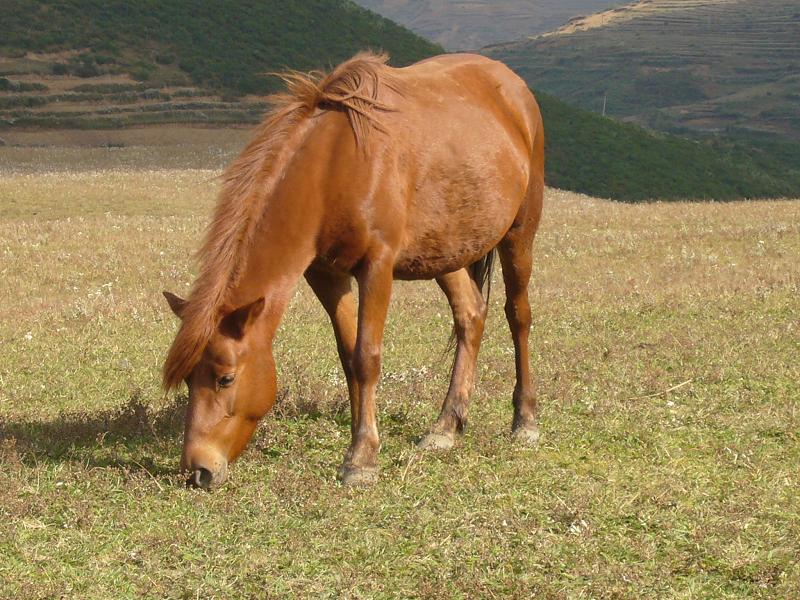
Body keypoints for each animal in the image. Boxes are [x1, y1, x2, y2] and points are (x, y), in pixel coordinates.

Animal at [162, 51, 544, 490]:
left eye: (225, 378)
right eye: (188, 379)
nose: (198, 471)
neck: (333, 167)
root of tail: (511, 84)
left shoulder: (376, 267)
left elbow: (367, 356)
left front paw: (361, 459)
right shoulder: (325, 275)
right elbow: (348, 357)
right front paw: (363, 437)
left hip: (519, 234)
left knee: (518, 317)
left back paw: (525, 420)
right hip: (446, 250)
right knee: (471, 315)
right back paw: (446, 427)